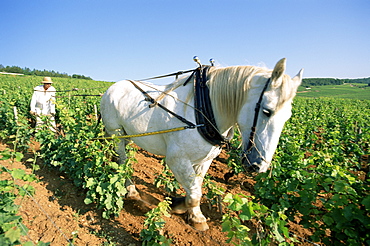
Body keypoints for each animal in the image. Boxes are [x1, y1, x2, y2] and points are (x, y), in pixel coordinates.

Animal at [99, 58, 302, 231]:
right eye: (267, 111)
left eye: (288, 117)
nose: (259, 166)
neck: (203, 111)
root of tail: (111, 88)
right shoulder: (177, 159)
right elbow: (196, 192)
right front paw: (196, 217)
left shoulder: (204, 160)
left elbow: (196, 187)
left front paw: (184, 207)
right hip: (116, 134)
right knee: (123, 162)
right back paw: (131, 190)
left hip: (128, 135)